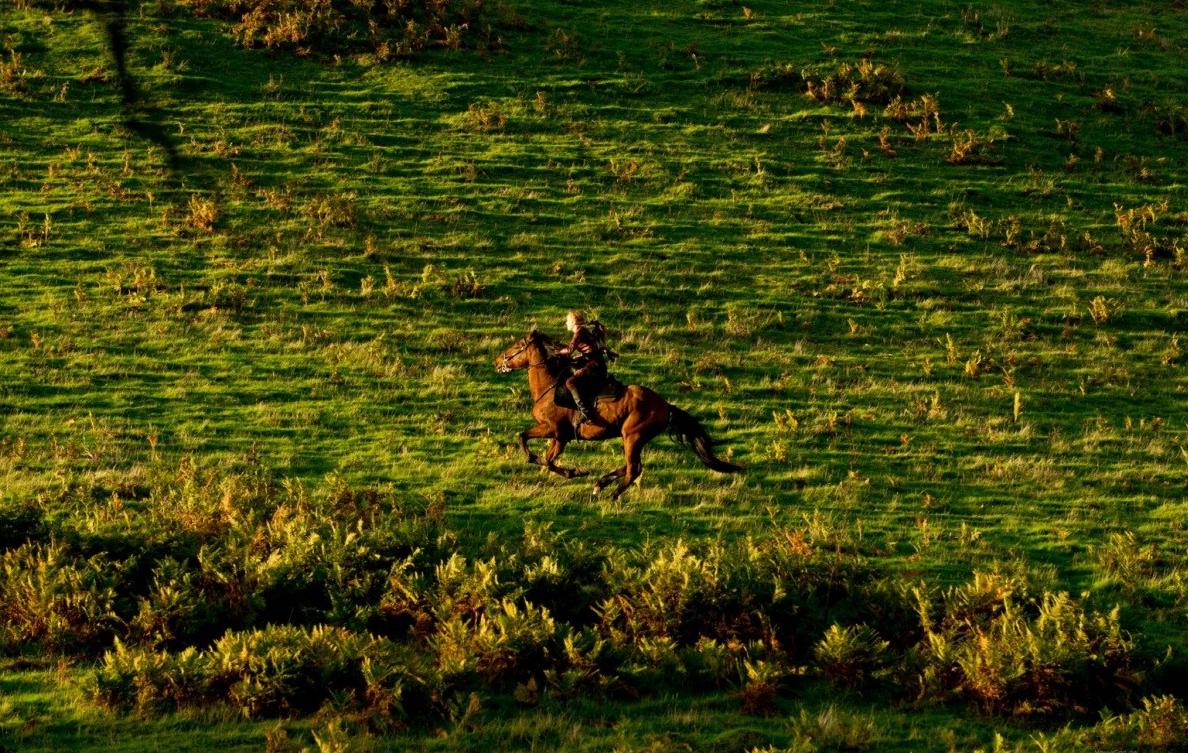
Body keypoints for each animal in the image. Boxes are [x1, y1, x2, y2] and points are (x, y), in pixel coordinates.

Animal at [494, 330, 741, 498]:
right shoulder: (560, 437)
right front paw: (576, 472)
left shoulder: (554, 430)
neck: (549, 387)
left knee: (634, 469)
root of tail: (665, 405)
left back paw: (612, 494)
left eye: (518, 345)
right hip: (633, 438)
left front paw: (574, 471)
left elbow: (530, 445)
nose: (497, 361)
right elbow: (547, 459)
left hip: (633, 436)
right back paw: (601, 484)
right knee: (632, 467)